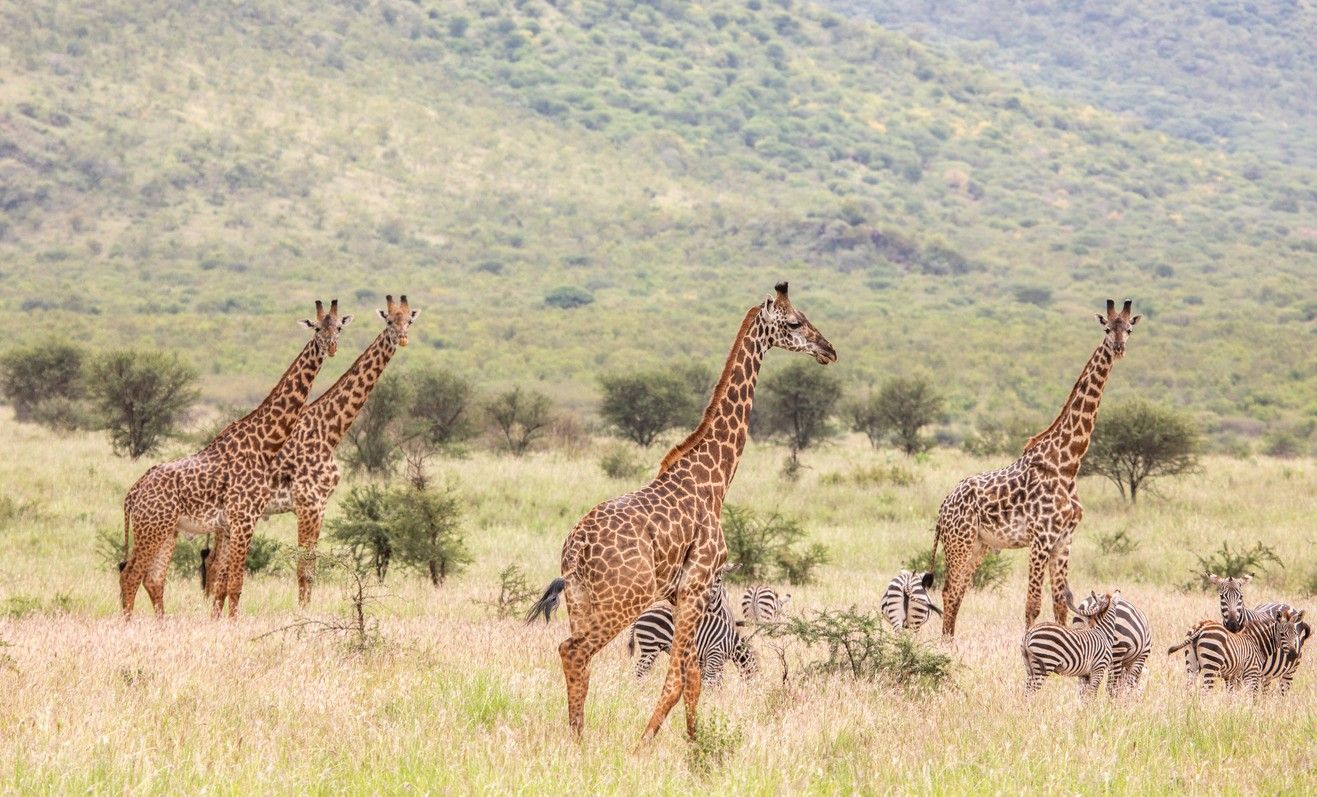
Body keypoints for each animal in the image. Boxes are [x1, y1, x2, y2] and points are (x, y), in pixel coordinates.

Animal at [118, 301, 350, 619]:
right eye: (316, 328)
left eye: (338, 327)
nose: (332, 346)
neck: (264, 444)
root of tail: (132, 494)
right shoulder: (244, 520)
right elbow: (236, 584)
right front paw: (231, 624)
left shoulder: (233, 526)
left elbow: (225, 584)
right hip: (152, 530)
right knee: (131, 575)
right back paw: (129, 625)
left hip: (164, 532)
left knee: (150, 578)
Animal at [201, 296, 416, 603]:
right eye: (389, 321)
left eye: (409, 320)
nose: (403, 338)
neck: (329, 430)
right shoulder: (307, 503)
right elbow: (305, 568)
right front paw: (302, 611)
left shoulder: (321, 505)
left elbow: (311, 567)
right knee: (216, 562)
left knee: (214, 561)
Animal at [629, 574, 763, 679]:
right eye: (753, 671)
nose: (750, 688)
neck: (730, 642)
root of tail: (642, 614)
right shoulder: (714, 654)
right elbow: (712, 679)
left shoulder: (703, 657)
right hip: (650, 646)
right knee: (639, 671)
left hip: (652, 648)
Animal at [932, 300, 1137, 640]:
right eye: (1107, 328)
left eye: (1129, 329)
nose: (1119, 348)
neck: (1069, 463)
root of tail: (943, 506)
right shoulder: (1041, 538)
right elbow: (1032, 605)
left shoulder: (1064, 541)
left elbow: (1060, 605)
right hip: (959, 541)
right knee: (949, 590)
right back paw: (945, 645)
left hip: (979, 545)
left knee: (958, 591)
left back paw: (949, 644)